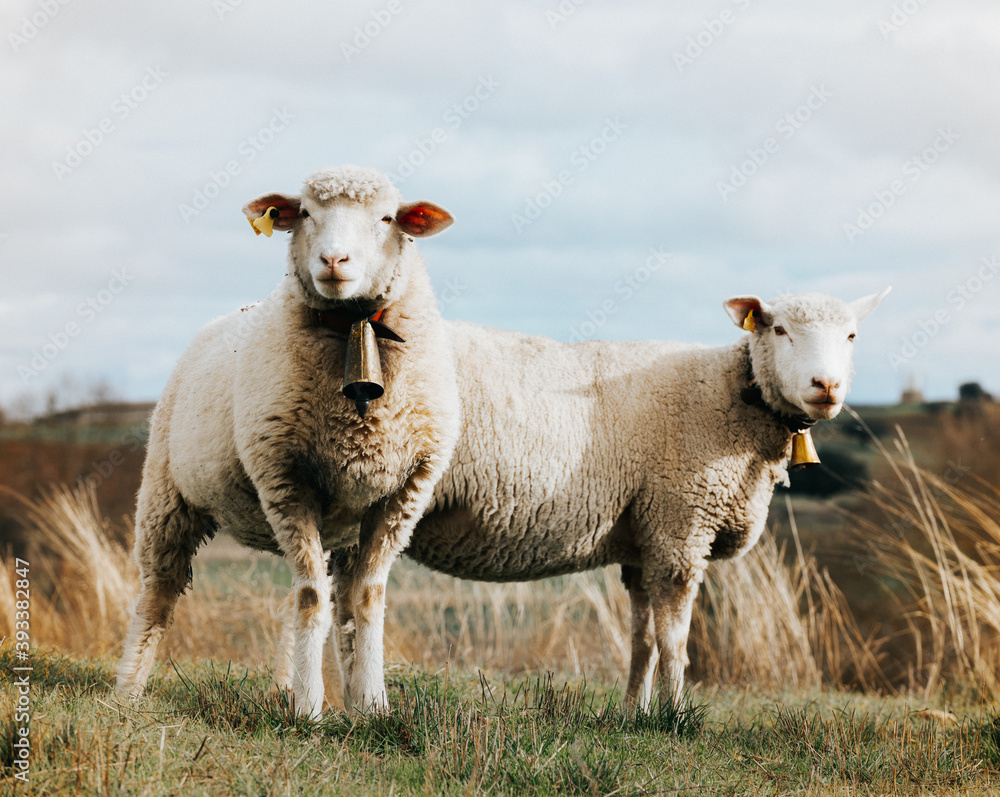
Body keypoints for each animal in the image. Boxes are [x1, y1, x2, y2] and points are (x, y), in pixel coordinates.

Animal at [115, 165, 460, 717]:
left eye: (387, 218)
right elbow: (310, 599)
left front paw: (372, 706)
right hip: (166, 496)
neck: (354, 327)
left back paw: (313, 689)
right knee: (158, 593)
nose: (334, 261)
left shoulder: (402, 494)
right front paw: (310, 710)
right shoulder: (285, 478)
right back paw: (127, 691)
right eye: (306, 213)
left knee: (333, 596)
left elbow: (366, 600)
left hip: (339, 524)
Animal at [402, 288, 890, 709]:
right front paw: (675, 716)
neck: (733, 395)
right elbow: (675, 642)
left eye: (851, 336)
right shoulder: (680, 529)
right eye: (780, 329)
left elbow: (644, 641)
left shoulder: (644, 541)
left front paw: (633, 713)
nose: (826, 385)